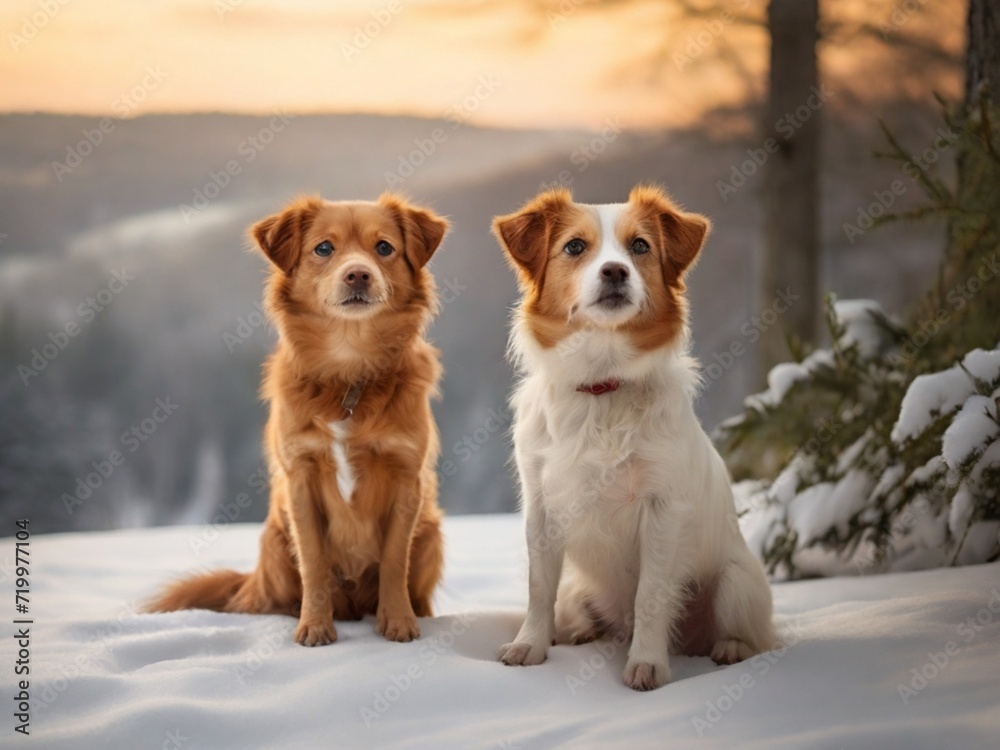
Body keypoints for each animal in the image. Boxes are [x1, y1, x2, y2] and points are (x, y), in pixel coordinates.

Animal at [146, 194, 448, 648]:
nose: (358, 275)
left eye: (384, 247)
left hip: (431, 531)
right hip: (274, 540)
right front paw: (315, 627)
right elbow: (314, 564)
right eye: (324, 248)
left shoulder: (406, 478)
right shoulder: (301, 480)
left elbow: (395, 561)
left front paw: (397, 622)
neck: (349, 372)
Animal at [496, 185, 776, 692]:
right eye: (575, 246)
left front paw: (647, 664)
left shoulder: (662, 511)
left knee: (752, 636)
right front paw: (531, 645)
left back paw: (729, 648)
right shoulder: (541, 507)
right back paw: (581, 633)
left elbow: (651, 595)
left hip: (734, 584)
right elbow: (538, 588)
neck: (602, 385)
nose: (615, 271)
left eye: (640, 246)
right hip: (579, 592)